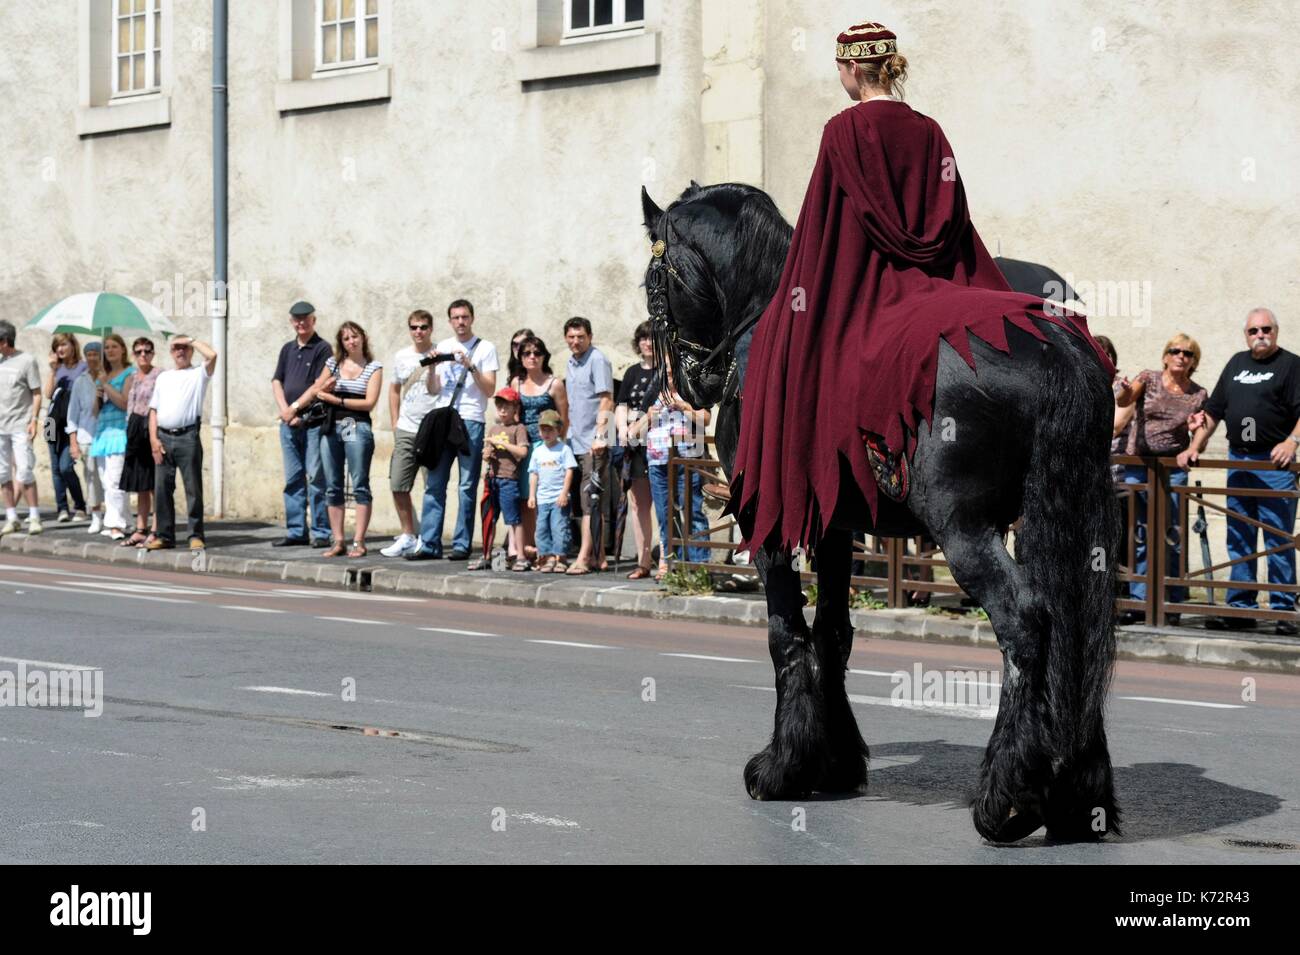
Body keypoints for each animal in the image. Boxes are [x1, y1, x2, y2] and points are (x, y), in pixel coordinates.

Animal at [639, 180, 1118, 841]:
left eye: (651, 278)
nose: (690, 384)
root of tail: (1060, 348)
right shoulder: (836, 527)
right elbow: (832, 633)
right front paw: (833, 761)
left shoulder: (767, 522)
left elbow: (785, 634)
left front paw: (781, 767)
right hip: (1062, 520)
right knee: (1074, 624)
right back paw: (1075, 794)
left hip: (965, 530)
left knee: (1025, 623)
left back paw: (1007, 795)